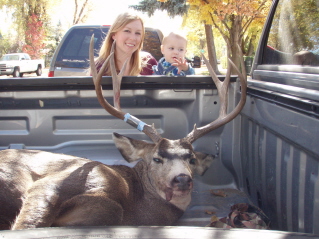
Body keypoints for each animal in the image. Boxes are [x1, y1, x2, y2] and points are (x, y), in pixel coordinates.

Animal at [0, 36, 248, 230]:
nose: (182, 179)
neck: (134, 204)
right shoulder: (56, 183)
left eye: (192, 159)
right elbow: (28, 224)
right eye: (156, 158)